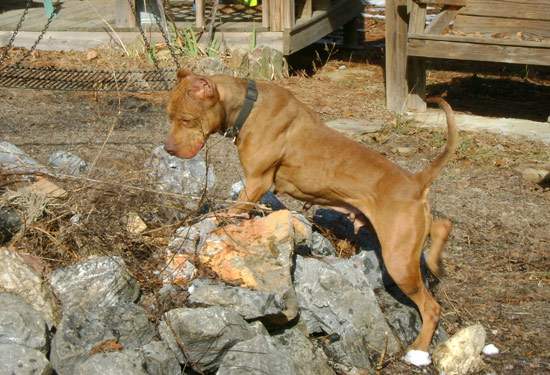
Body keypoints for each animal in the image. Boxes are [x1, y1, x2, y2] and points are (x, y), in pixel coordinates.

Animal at [166, 70, 460, 364]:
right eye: (169, 115)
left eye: (186, 119)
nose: (168, 148)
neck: (246, 105)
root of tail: (415, 182)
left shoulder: (257, 182)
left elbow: (229, 209)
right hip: (408, 234)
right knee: (441, 225)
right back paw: (436, 257)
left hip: (399, 260)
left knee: (431, 307)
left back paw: (418, 350)